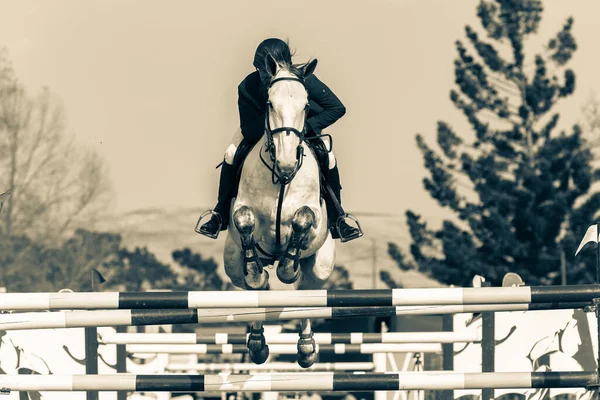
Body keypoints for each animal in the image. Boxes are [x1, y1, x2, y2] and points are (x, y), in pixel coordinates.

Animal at [221, 54, 332, 368]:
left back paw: (306, 348)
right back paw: (258, 342)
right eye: (270, 103)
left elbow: (303, 219)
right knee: (253, 293)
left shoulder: (315, 219)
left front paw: (287, 267)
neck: (281, 179)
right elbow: (244, 219)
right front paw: (256, 271)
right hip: (231, 263)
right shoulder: (243, 211)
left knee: (308, 294)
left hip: (321, 266)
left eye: (306, 105)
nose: (285, 163)